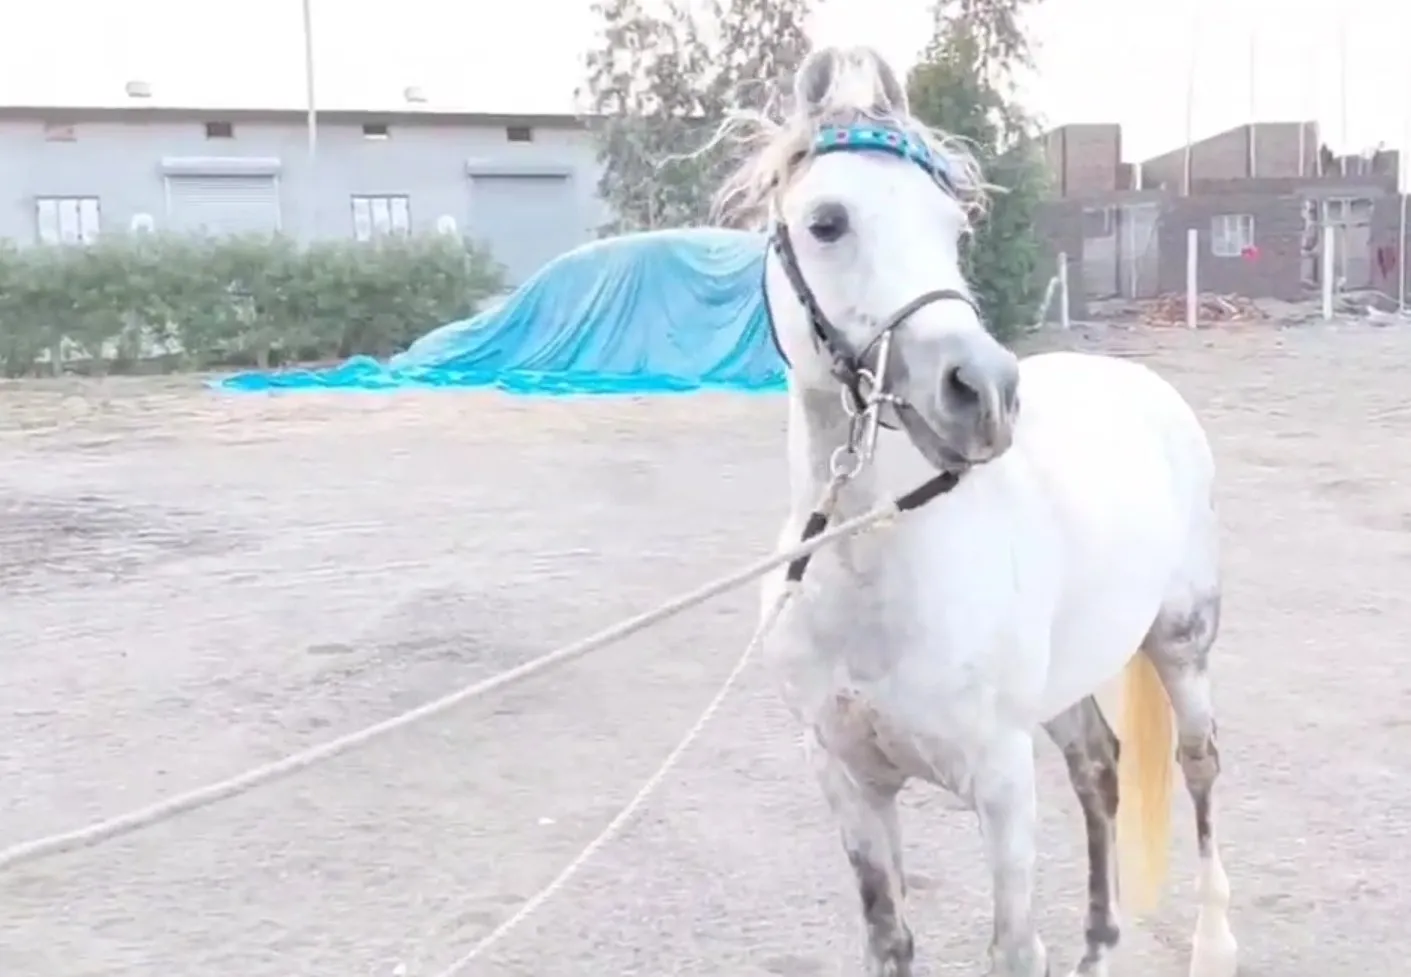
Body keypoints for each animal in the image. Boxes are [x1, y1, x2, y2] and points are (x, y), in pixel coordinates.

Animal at [711, 46, 1239, 977]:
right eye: (826, 222)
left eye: (953, 228)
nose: (982, 392)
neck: (872, 571)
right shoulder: (847, 781)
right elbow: (888, 935)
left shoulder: (1000, 783)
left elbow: (1013, 946)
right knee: (1099, 767)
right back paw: (1099, 949)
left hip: (1181, 642)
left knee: (1199, 762)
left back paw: (1213, 942)